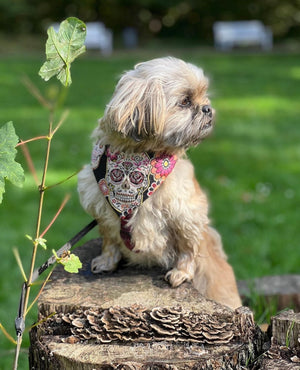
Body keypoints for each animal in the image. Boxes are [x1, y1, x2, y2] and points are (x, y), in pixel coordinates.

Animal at [77, 55, 241, 310]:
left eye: (203, 97)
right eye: (185, 101)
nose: (207, 108)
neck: (138, 161)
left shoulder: (187, 215)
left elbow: (187, 248)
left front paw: (181, 273)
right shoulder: (103, 210)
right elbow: (110, 240)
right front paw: (107, 261)